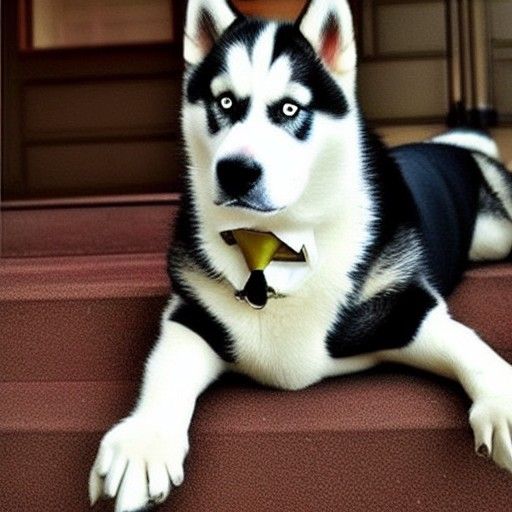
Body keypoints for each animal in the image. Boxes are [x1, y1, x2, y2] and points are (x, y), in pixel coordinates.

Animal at [90, 0, 512, 510]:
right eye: (225, 103)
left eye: (289, 108)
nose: (235, 172)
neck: (276, 241)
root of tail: (443, 144)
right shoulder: (193, 312)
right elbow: (166, 367)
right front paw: (145, 441)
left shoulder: (406, 307)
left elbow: (470, 346)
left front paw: (503, 401)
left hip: (496, 233)